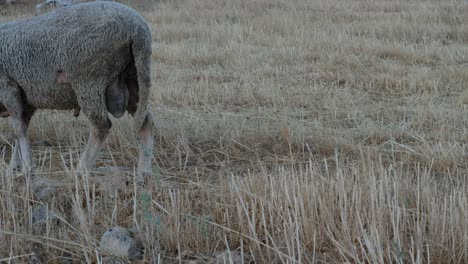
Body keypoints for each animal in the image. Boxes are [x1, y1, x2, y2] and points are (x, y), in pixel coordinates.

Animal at [0, 1, 154, 184]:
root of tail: (138, 29)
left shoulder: (8, 87)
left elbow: (19, 130)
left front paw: (27, 169)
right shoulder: (27, 101)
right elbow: (22, 128)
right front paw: (14, 167)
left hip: (89, 81)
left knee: (101, 126)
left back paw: (80, 170)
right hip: (133, 76)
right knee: (145, 122)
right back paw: (144, 173)